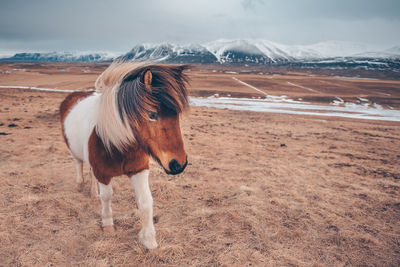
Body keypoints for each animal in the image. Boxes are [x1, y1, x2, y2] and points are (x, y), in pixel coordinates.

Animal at [59, 62, 191, 249]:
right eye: (152, 114)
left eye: (177, 113)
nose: (178, 164)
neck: (117, 143)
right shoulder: (103, 173)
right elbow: (107, 197)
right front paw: (108, 226)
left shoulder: (139, 170)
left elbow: (145, 201)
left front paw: (149, 241)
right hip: (75, 151)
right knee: (79, 164)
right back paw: (79, 185)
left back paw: (92, 194)